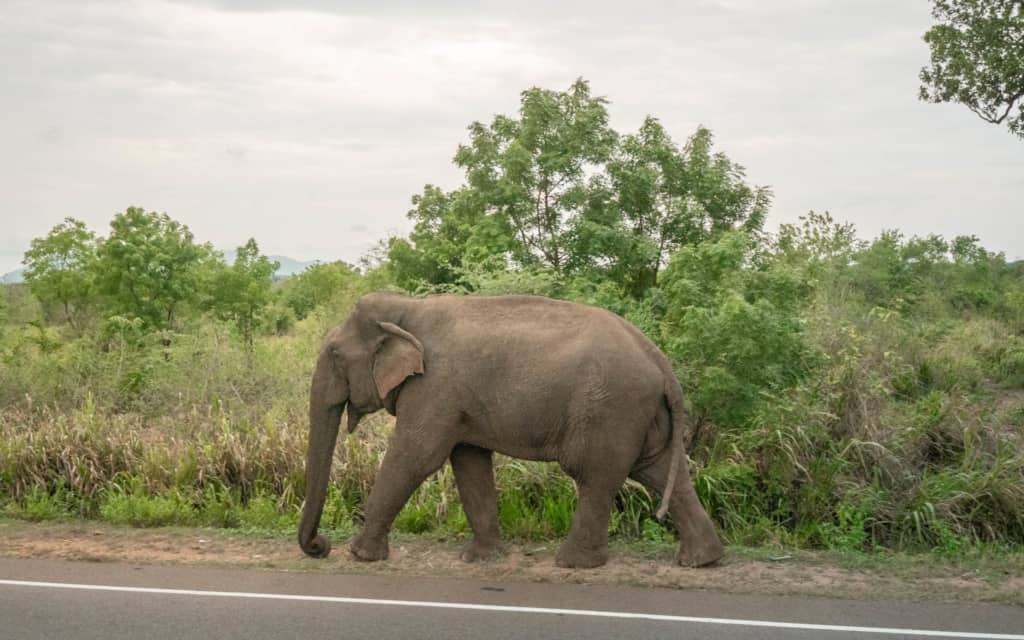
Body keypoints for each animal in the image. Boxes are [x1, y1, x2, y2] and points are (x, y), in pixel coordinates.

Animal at [298, 292, 724, 569]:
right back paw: (701, 561)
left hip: (610, 408)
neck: (406, 306)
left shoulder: (435, 386)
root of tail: (659, 359)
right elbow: (468, 461)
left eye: (335, 355)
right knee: (660, 471)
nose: (321, 546)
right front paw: (481, 559)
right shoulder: (457, 400)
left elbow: (416, 456)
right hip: (640, 414)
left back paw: (572, 564)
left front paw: (360, 556)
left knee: (594, 475)